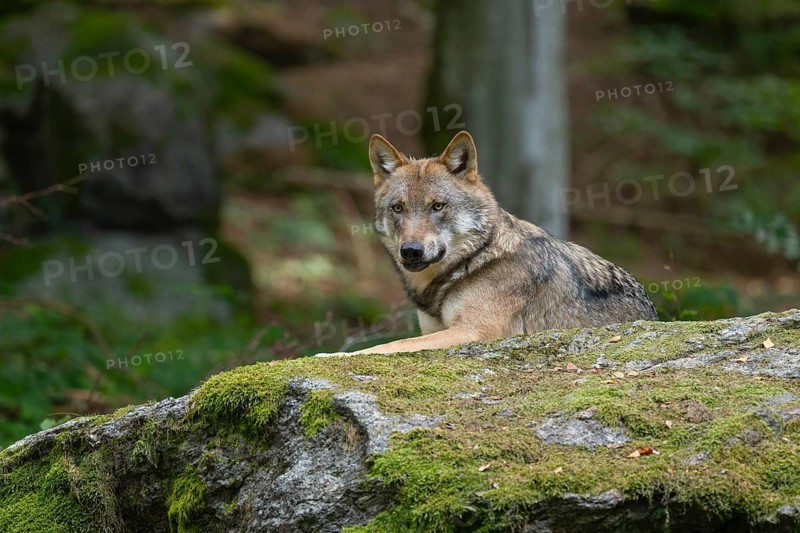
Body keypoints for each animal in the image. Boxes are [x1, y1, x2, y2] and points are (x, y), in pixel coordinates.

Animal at [318, 131, 657, 357]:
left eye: (437, 206)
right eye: (398, 208)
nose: (411, 251)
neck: (476, 259)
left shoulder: (477, 331)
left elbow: (390, 344)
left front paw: (334, 355)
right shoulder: (436, 329)